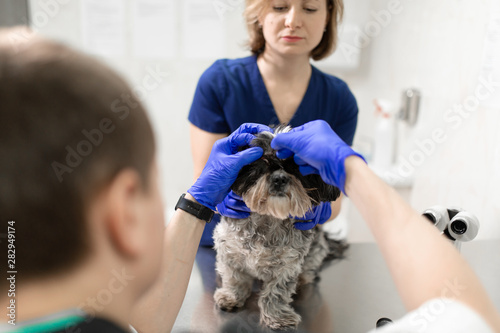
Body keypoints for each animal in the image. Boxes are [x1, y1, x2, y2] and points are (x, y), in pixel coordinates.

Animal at [212, 125, 348, 330]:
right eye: (262, 161)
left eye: (296, 166)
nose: (280, 178)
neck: (269, 217)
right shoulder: (228, 249)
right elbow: (234, 277)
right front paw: (231, 296)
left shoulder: (287, 265)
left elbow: (276, 292)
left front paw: (277, 317)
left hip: (316, 251)